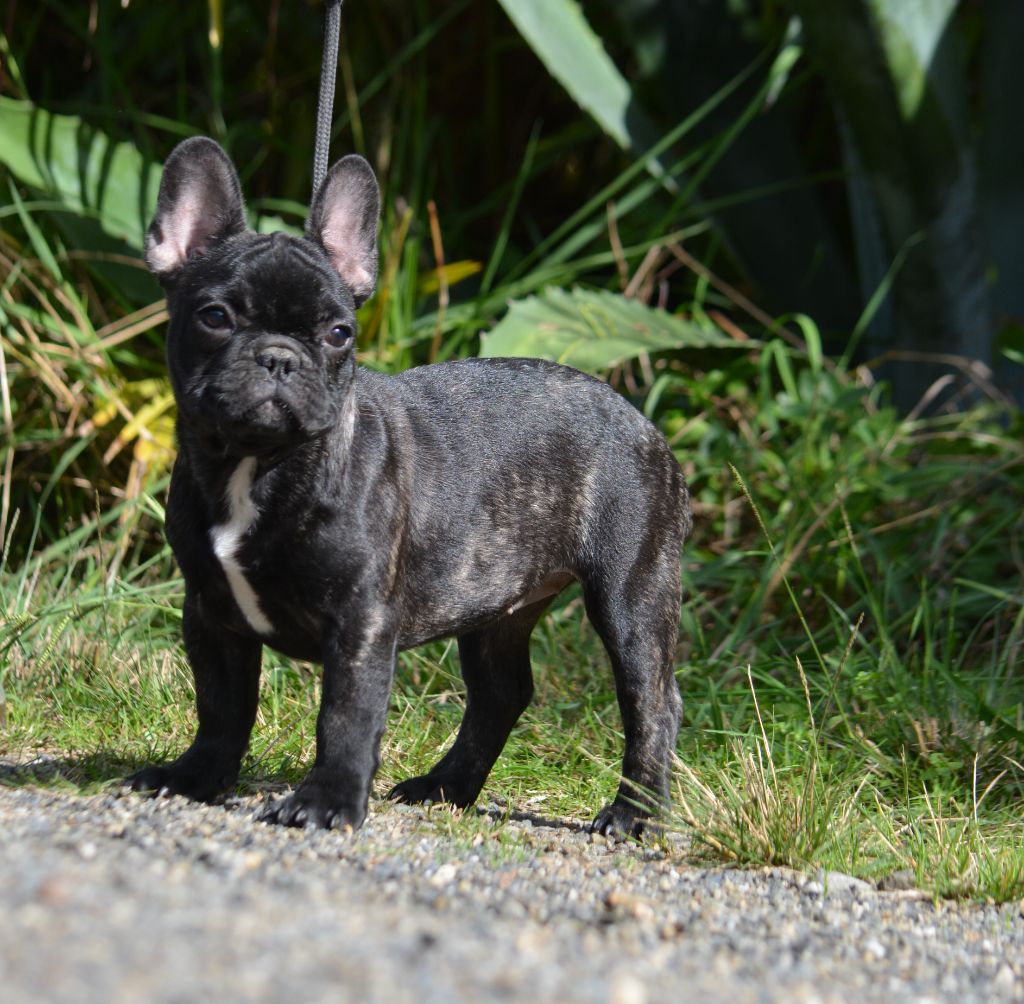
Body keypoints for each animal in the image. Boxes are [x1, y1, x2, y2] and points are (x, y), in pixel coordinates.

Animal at [125, 135, 688, 840]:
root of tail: (643, 421)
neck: (260, 463)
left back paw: (634, 813)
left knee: (652, 701)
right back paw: (446, 786)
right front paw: (195, 776)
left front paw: (327, 801)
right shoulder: (210, 610)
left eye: (339, 333)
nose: (280, 356)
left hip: (630, 594)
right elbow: (221, 704)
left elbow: (345, 715)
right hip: (497, 604)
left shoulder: (360, 622)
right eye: (215, 317)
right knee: (501, 693)